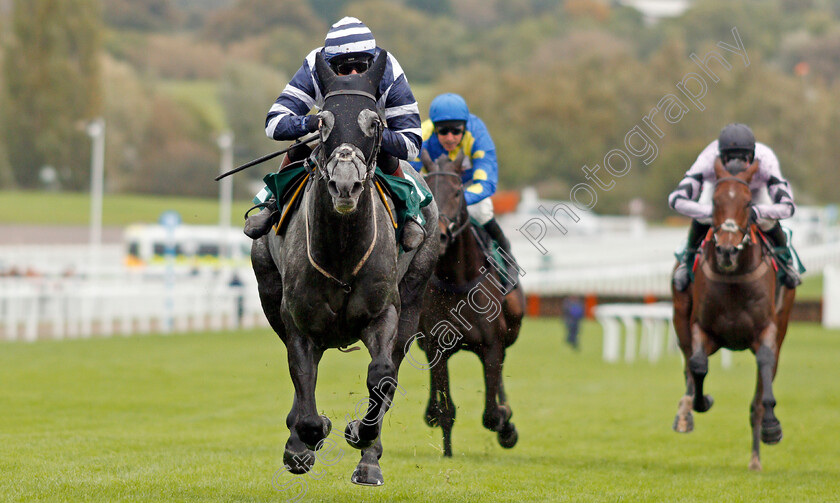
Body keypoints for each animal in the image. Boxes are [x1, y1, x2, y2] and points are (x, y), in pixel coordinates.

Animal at [251, 49, 440, 486]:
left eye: (375, 123)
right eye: (322, 121)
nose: (345, 185)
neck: (341, 253)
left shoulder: (384, 313)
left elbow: (383, 375)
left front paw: (359, 433)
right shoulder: (297, 321)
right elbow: (303, 388)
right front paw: (307, 438)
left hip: (415, 295)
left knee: (390, 375)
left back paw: (369, 460)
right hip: (268, 286)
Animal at [416, 150, 524, 456]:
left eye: (456, 192)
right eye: (428, 191)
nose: (440, 235)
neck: (456, 280)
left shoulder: (492, 346)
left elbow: (491, 414)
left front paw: (506, 425)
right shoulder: (437, 345)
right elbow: (447, 410)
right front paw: (447, 452)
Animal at [672, 158, 796, 472]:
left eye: (748, 202)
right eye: (715, 201)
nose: (727, 250)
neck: (734, 280)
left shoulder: (768, 330)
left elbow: (764, 370)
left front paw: (771, 426)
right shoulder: (701, 328)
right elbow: (698, 366)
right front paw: (701, 402)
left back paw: (755, 457)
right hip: (680, 319)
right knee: (688, 366)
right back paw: (685, 414)